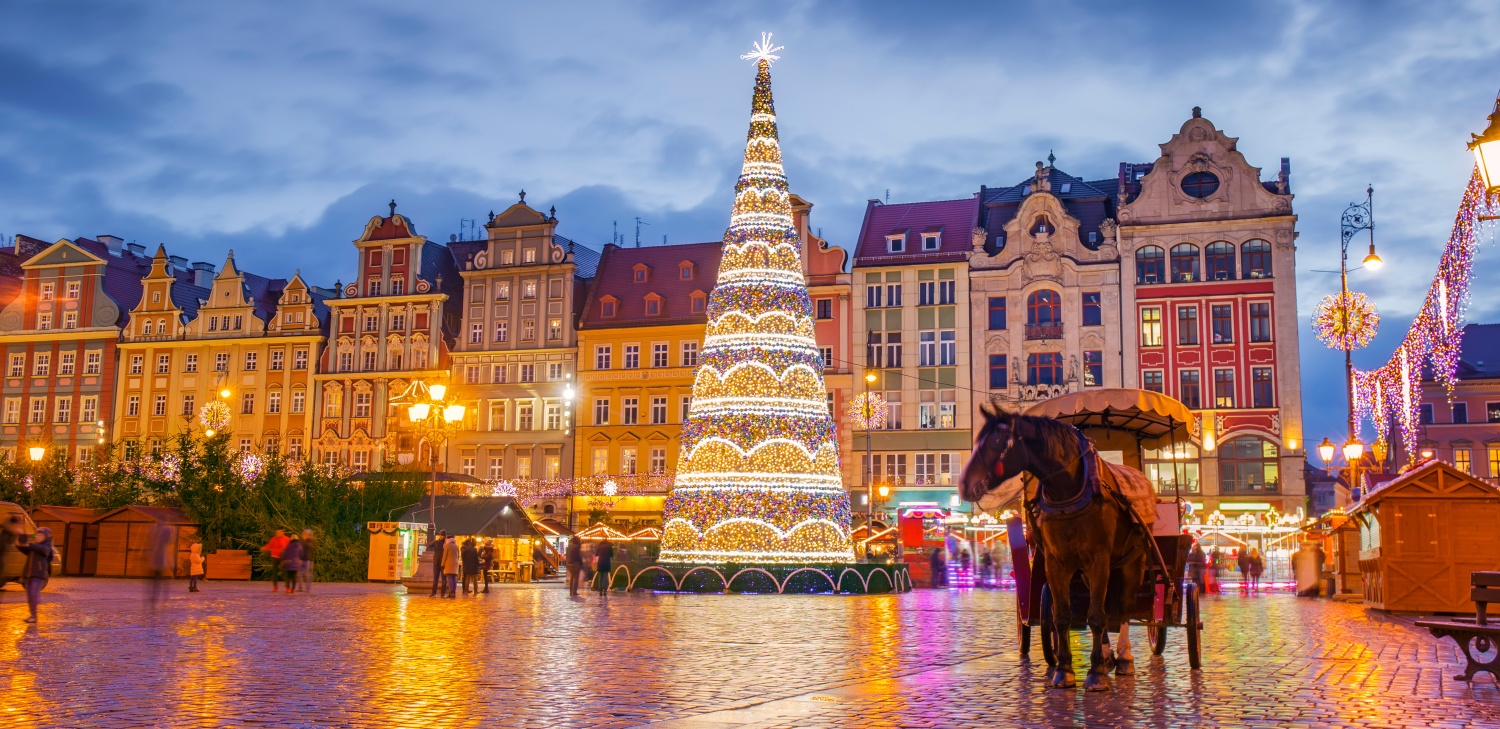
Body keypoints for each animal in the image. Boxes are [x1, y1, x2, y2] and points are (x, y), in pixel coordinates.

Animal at [960, 408, 1146, 693]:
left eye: (996, 441)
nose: (963, 484)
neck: (1067, 492)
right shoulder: (1056, 562)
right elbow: (1062, 616)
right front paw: (1064, 671)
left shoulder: (1099, 560)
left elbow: (1096, 616)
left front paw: (1095, 675)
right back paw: (1106, 657)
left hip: (1131, 563)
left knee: (1124, 607)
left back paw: (1124, 658)